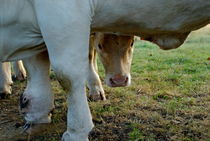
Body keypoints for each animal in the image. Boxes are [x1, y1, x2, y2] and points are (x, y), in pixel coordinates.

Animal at [0, 0, 210, 140]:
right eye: (101, 46)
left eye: (132, 44)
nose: (119, 80)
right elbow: (37, 65)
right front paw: (36, 113)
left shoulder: (63, 13)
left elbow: (67, 75)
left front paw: (77, 131)